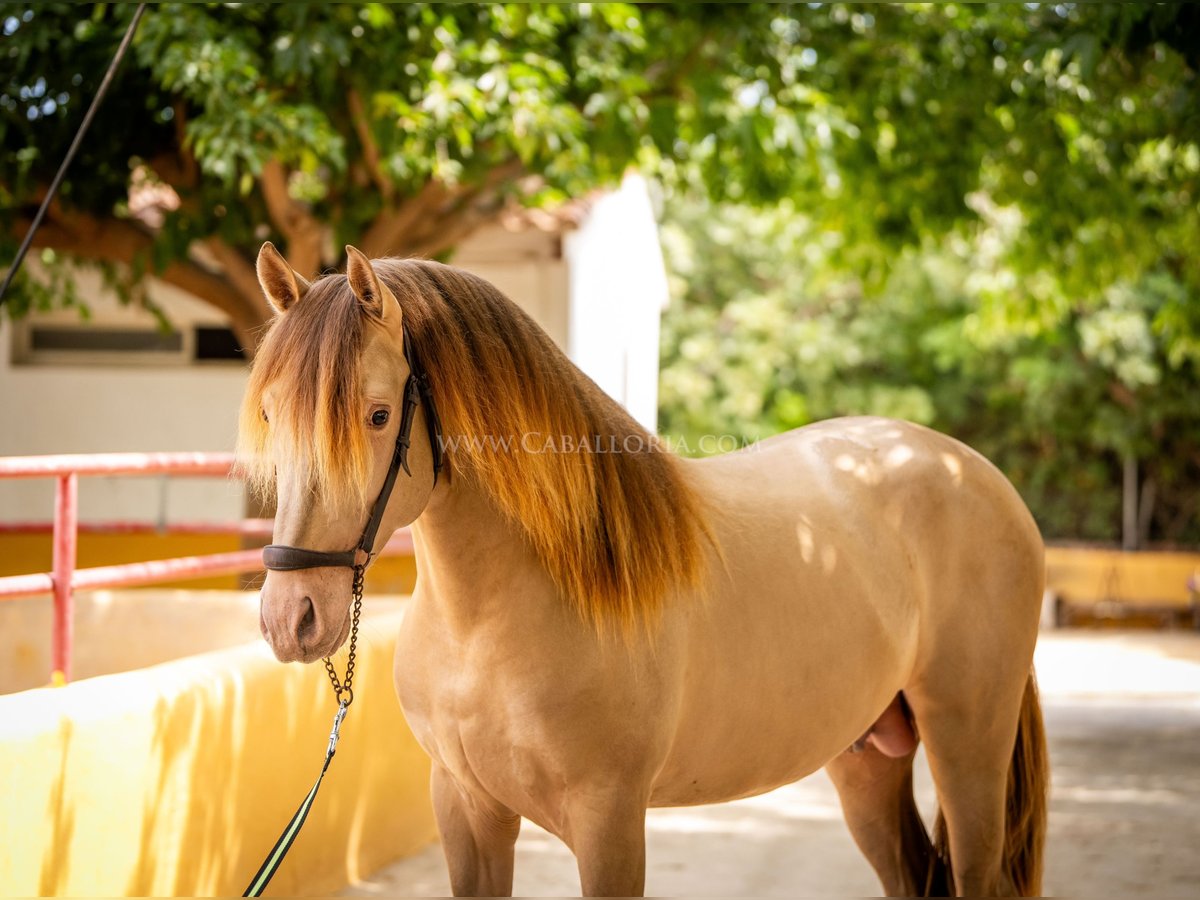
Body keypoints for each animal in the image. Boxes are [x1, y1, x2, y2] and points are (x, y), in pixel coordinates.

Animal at [238, 243, 1046, 897]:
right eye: (272, 413)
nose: (290, 618)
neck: (490, 625)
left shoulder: (610, 821)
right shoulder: (466, 810)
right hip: (867, 758)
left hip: (968, 745)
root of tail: (973, 472)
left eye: (377, 415)